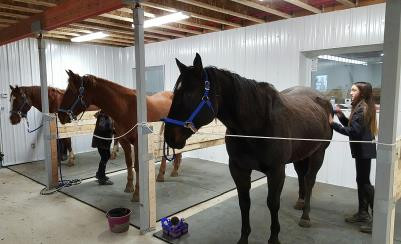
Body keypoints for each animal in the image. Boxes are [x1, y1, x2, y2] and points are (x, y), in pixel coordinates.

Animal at [57, 69, 183, 201]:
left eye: (72, 91)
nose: (60, 115)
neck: (125, 108)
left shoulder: (138, 143)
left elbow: (137, 166)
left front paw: (137, 194)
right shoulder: (124, 141)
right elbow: (129, 163)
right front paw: (129, 187)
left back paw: (172, 171)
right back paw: (164, 174)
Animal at [162, 53, 332, 244]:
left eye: (189, 94)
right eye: (175, 93)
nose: (169, 137)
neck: (258, 124)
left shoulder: (276, 171)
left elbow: (273, 203)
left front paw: (274, 238)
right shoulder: (238, 169)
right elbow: (244, 202)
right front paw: (244, 238)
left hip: (318, 153)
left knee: (310, 180)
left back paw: (305, 216)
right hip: (301, 155)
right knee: (302, 176)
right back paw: (300, 202)